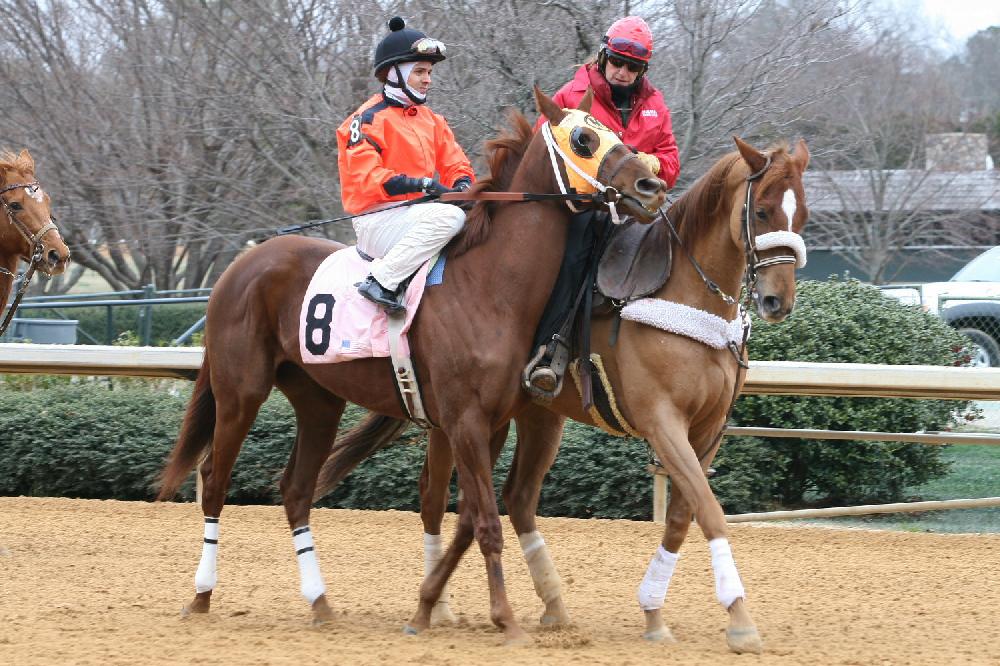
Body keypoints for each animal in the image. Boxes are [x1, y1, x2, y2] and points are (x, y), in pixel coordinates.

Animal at [155, 85, 668, 643]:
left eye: (617, 134)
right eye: (583, 139)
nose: (652, 184)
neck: (490, 286)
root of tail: (241, 264)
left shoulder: (491, 422)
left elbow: (469, 516)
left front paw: (434, 607)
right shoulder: (464, 420)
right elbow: (485, 521)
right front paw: (505, 620)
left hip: (318, 400)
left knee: (295, 489)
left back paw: (320, 603)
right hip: (240, 391)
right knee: (215, 479)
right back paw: (201, 595)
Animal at [314, 136, 811, 653]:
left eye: (803, 213)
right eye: (764, 211)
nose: (777, 300)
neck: (685, 295)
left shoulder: (710, 429)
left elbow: (681, 518)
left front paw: (655, 612)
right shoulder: (662, 422)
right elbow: (710, 511)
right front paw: (740, 619)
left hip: (539, 418)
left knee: (515, 497)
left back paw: (550, 605)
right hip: (454, 421)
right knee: (436, 496)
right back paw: (441, 603)